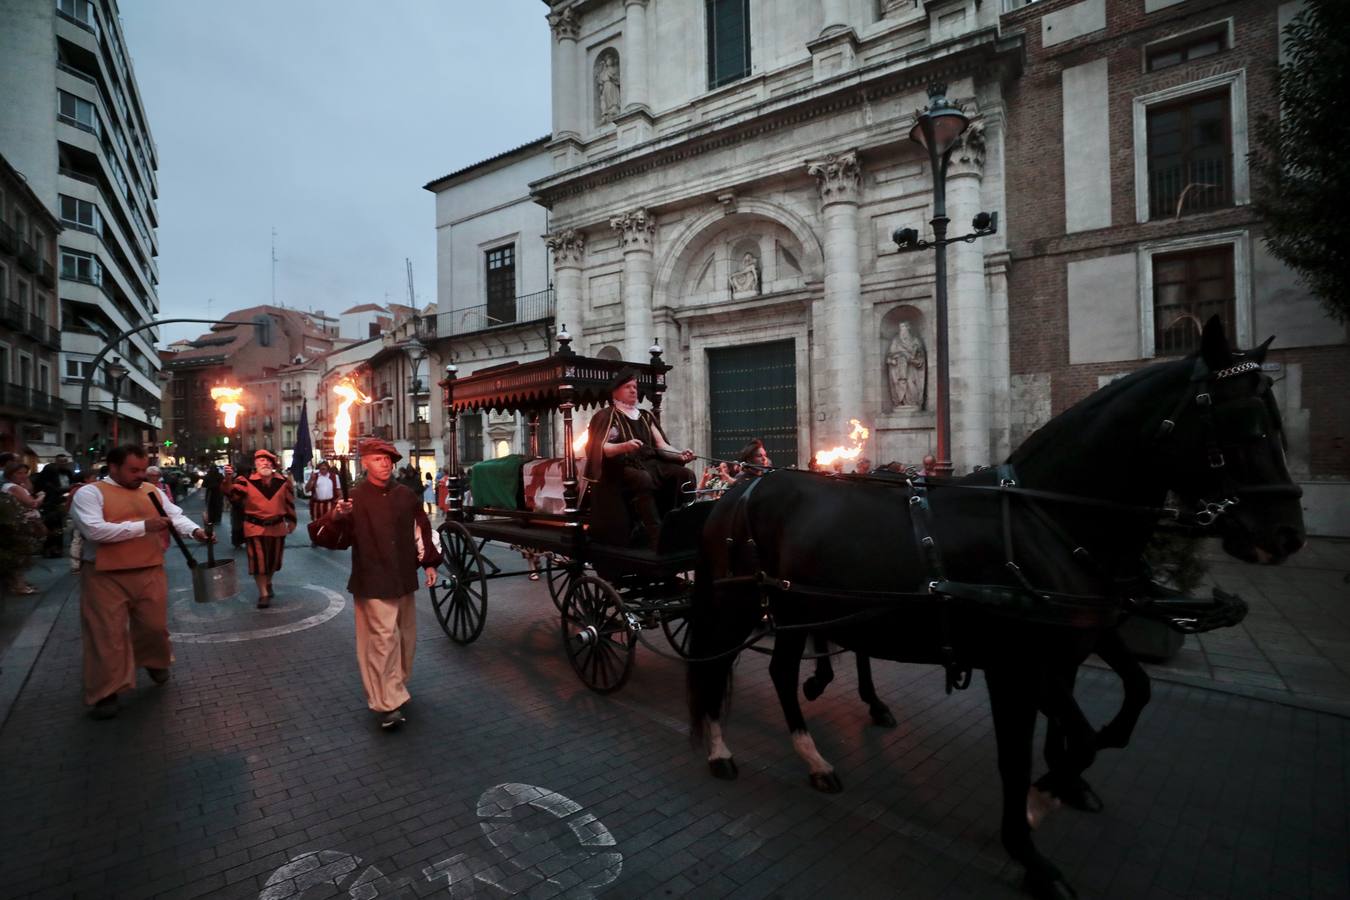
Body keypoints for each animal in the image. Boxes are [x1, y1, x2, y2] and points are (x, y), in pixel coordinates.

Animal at [691, 319, 1301, 895]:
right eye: (1242, 423)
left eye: (1277, 421)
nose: (1286, 535)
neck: (1043, 520)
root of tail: (736, 490)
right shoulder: (1016, 667)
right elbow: (1028, 754)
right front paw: (1033, 835)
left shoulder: (1071, 644)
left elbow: (1123, 702)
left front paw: (1060, 788)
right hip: (738, 603)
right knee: (717, 665)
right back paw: (720, 750)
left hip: (795, 607)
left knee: (779, 670)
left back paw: (814, 755)